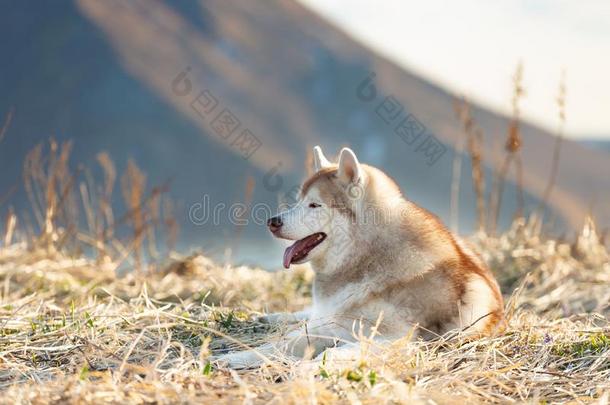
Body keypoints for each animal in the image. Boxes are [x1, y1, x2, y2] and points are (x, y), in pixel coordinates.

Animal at [216, 146, 502, 370]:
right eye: (298, 201)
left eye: (314, 205)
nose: (272, 222)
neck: (368, 255)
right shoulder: (331, 323)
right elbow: (280, 343)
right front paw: (234, 358)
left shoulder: (394, 337)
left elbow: (329, 352)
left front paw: (305, 369)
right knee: (307, 314)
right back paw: (271, 316)